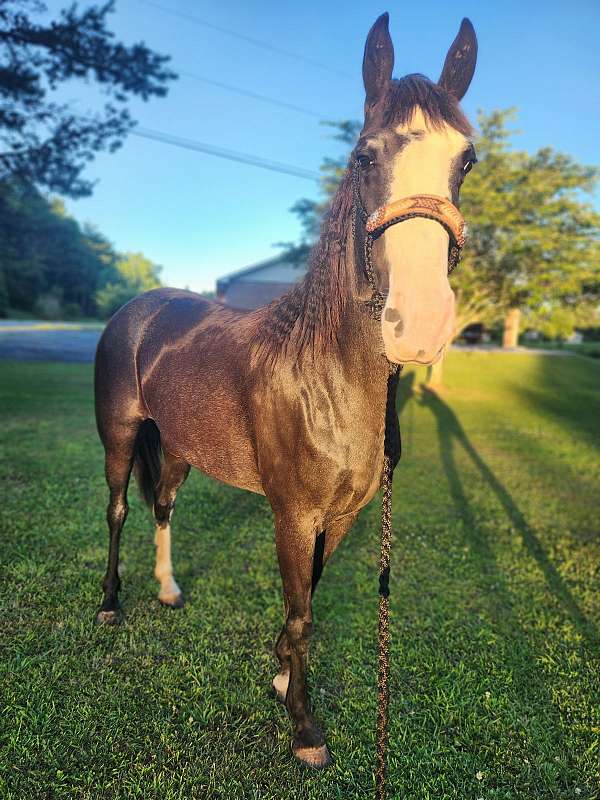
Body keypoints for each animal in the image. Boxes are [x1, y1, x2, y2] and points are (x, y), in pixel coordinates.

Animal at [94, 12, 478, 772]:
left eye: (466, 161)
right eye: (363, 156)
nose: (420, 323)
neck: (323, 377)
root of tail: (141, 307)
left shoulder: (345, 514)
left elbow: (314, 596)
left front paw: (278, 674)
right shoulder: (293, 514)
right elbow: (302, 611)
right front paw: (303, 725)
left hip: (178, 445)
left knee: (163, 505)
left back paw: (169, 590)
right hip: (121, 436)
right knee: (121, 509)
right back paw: (113, 603)